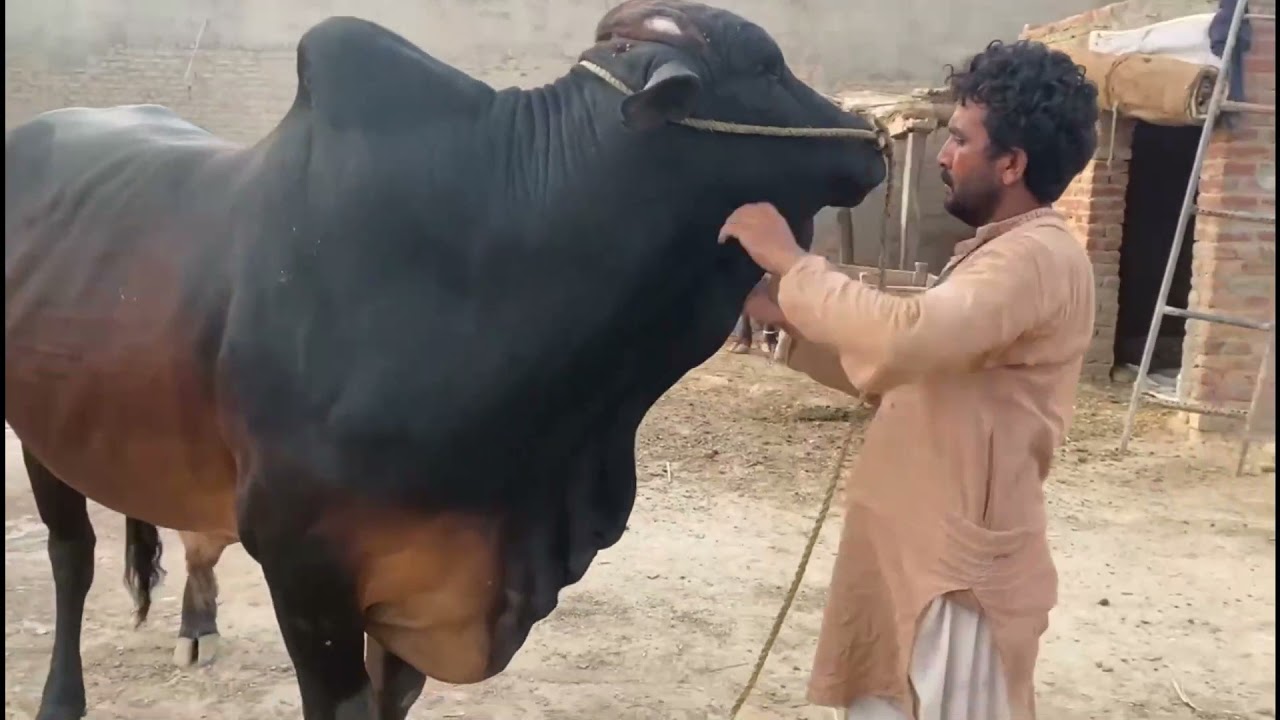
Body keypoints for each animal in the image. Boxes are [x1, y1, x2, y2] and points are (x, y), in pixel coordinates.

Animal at [4, 3, 886, 718]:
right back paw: (61, 696)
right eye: (766, 66)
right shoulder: (305, 569)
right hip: (43, 436)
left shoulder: (421, 582)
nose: (873, 140)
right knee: (71, 559)